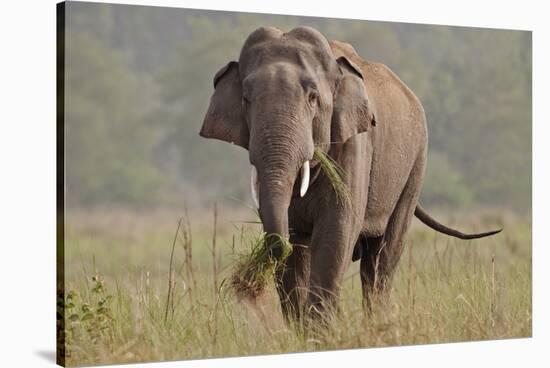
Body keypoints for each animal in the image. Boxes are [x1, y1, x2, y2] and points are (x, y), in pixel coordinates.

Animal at [201, 25, 502, 322]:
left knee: (383, 257)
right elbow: (294, 241)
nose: (273, 249)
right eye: (246, 99)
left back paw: (377, 324)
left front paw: (320, 329)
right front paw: (301, 328)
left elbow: (337, 228)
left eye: (313, 98)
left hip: (416, 165)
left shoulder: (355, 145)